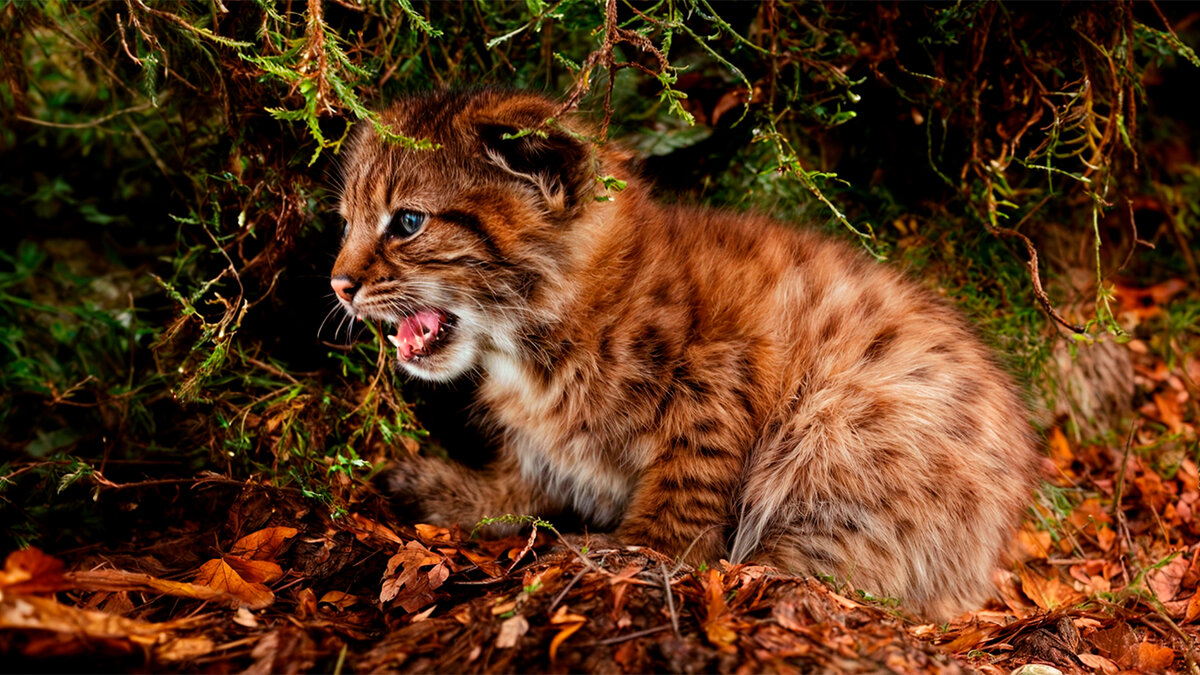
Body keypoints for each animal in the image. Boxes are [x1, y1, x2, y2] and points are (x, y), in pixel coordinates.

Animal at [331, 88, 1041, 614]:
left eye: (408, 223)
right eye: (346, 222)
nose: (337, 284)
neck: (539, 341)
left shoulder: (723, 370)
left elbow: (685, 498)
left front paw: (625, 552)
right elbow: (521, 482)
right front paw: (452, 490)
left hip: (845, 411)